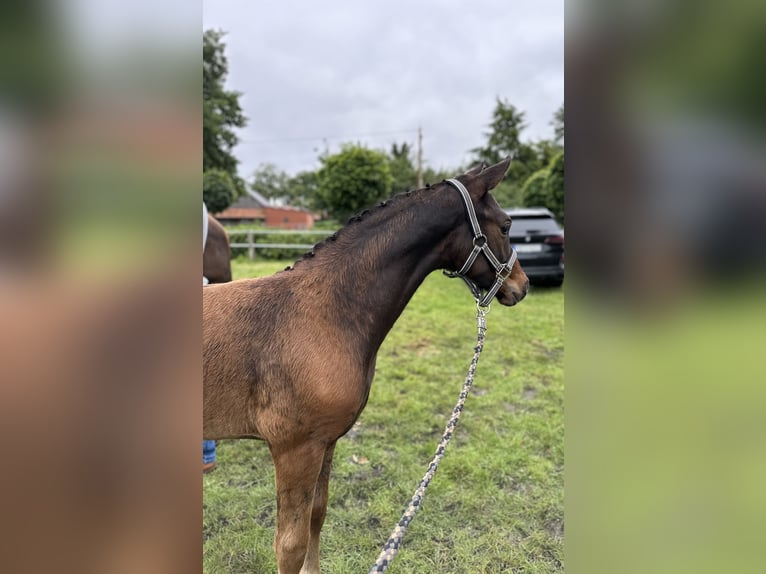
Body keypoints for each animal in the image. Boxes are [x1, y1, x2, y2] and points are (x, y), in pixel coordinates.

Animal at [201, 159, 532, 574]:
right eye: (505, 225)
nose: (522, 285)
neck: (326, 311)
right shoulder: (295, 449)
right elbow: (290, 545)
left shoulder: (325, 442)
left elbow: (318, 515)